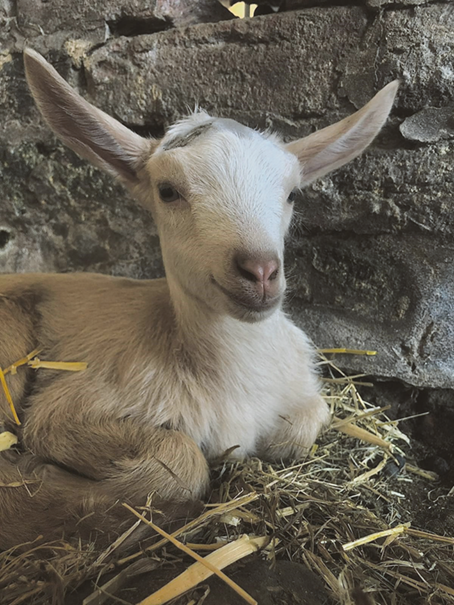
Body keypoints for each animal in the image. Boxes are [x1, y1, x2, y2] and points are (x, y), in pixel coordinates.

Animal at [0, 49, 398, 544]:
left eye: (291, 194)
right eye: (168, 191)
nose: (260, 271)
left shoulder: (302, 394)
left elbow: (308, 421)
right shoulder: (68, 406)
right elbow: (181, 462)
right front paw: (41, 482)